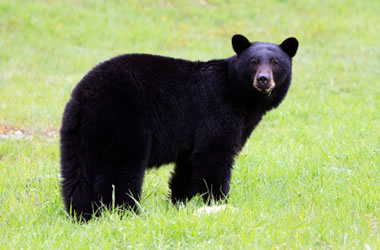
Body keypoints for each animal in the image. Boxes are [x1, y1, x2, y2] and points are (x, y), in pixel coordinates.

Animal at [59, 34, 298, 220]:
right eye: (253, 62)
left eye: (275, 62)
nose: (263, 79)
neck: (239, 94)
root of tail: (84, 95)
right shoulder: (217, 111)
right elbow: (214, 155)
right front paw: (219, 202)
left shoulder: (193, 137)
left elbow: (188, 166)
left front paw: (178, 203)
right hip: (122, 122)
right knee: (120, 171)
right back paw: (126, 212)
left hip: (79, 133)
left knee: (76, 175)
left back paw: (82, 214)